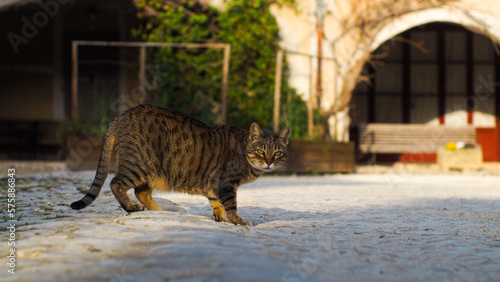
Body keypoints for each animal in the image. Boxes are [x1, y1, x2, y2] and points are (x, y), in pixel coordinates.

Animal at [70, 103, 290, 225]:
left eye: (277, 153)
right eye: (261, 151)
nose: (269, 162)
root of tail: (123, 114)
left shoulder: (214, 186)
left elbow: (217, 205)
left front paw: (221, 220)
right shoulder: (227, 185)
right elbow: (231, 206)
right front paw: (239, 222)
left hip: (150, 171)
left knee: (141, 192)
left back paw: (160, 211)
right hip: (139, 165)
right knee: (115, 184)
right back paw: (132, 207)